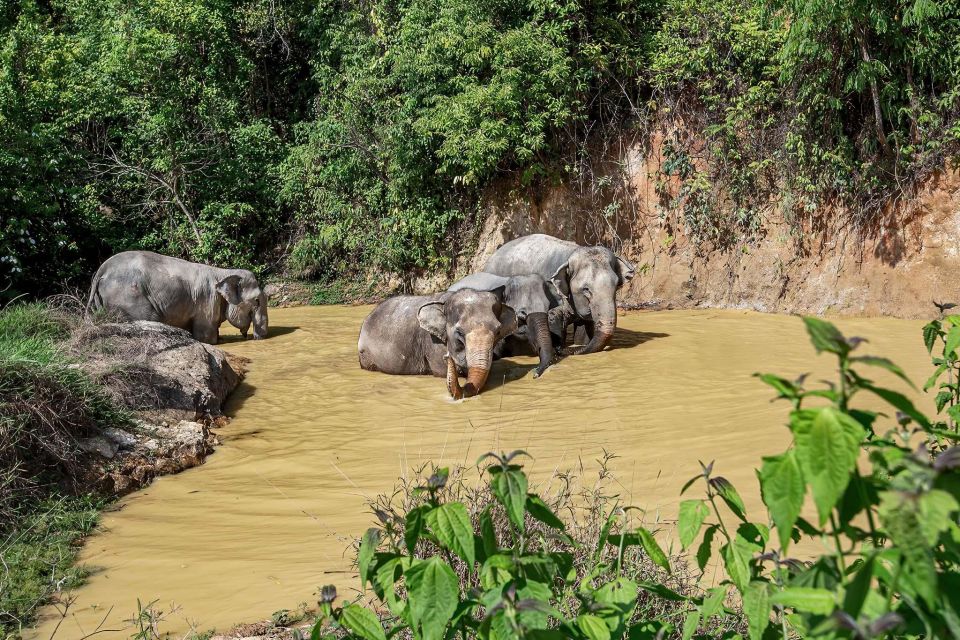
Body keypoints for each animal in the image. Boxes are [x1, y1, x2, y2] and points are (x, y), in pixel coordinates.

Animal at [86, 250, 274, 344]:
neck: (223, 272)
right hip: (128, 297)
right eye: (257, 301)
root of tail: (101, 270)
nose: (254, 337)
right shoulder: (207, 300)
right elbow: (206, 336)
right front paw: (214, 342)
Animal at [356, 288, 516, 398]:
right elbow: (441, 371)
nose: (448, 357)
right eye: (459, 332)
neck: (446, 301)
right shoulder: (432, 342)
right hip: (366, 354)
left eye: (498, 331)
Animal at [484, 234, 632, 356]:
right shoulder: (553, 291)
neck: (571, 254)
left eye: (616, 285)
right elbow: (553, 316)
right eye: (586, 289)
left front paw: (579, 345)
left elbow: (585, 325)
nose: (564, 351)